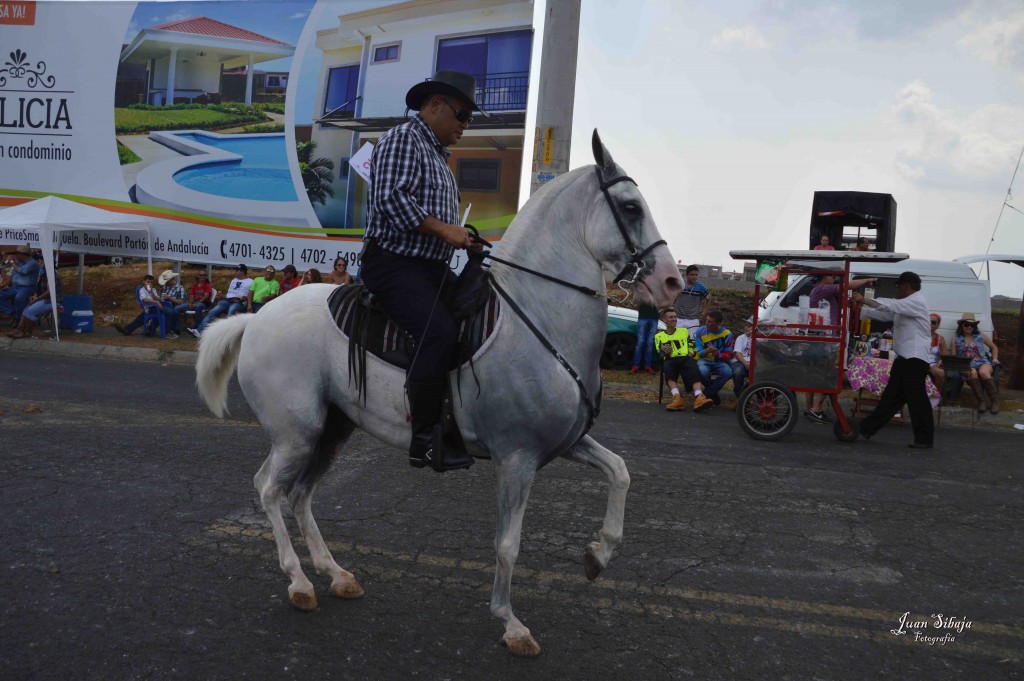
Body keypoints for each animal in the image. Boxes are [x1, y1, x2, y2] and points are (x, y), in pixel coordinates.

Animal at [195, 130, 684, 655]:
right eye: (631, 207)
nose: (672, 282)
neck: (537, 317)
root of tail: (255, 319)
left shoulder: (564, 443)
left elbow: (620, 472)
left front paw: (598, 556)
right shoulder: (517, 457)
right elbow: (508, 544)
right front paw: (511, 623)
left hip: (332, 429)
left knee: (301, 495)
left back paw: (336, 574)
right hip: (297, 433)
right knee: (269, 489)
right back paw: (300, 583)